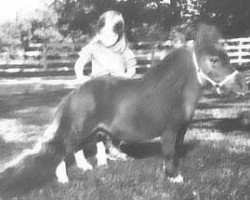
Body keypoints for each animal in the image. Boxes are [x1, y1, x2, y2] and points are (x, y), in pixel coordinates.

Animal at [0, 23, 246, 197]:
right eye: (214, 59)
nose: (242, 84)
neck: (172, 90)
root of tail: (73, 94)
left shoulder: (181, 131)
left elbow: (175, 152)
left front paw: (173, 173)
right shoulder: (169, 131)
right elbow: (168, 153)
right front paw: (174, 178)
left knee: (74, 149)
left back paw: (87, 167)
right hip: (78, 129)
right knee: (62, 152)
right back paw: (63, 179)